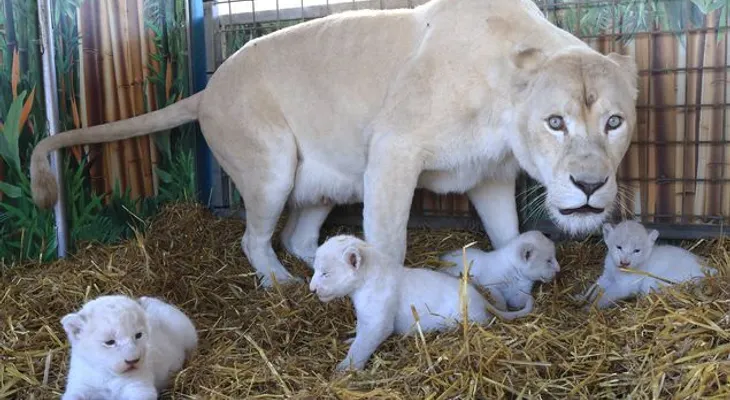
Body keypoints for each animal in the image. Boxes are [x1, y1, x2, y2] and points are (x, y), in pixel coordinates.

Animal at [29, 0, 638, 287]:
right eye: (555, 122)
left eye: (614, 122)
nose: (590, 185)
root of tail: (206, 88)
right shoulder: (393, 150)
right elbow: (390, 241)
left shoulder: (489, 174)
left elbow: (508, 235)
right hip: (272, 166)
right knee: (255, 239)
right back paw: (280, 284)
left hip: (327, 181)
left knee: (297, 237)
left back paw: (323, 264)